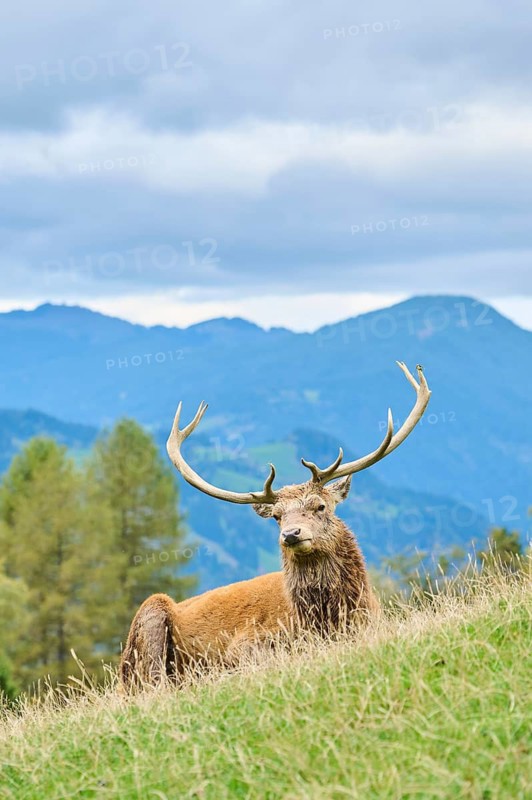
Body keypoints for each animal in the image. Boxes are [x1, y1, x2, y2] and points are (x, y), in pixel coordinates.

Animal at [120, 362, 431, 689]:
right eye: (277, 516)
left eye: (320, 506)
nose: (291, 534)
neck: (325, 619)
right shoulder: (245, 644)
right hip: (151, 615)